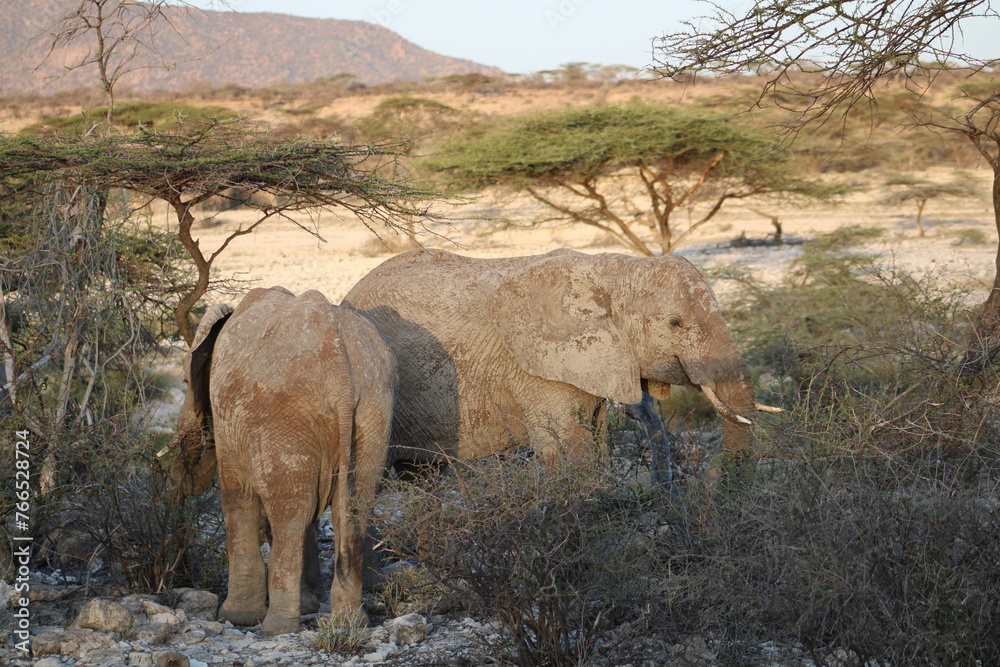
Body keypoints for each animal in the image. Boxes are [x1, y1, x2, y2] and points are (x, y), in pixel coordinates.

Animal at [165, 287, 396, 636]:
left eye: (185, 382)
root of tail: (342, 375)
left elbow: (237, 496)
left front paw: (237, 617)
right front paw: (309, 605)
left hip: (284, 416)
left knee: (291, 513)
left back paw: (275, 629)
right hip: (373, 409)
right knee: (354, 508)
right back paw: (349, 624)